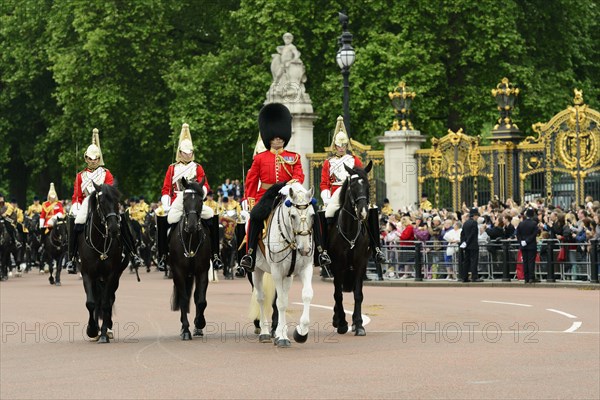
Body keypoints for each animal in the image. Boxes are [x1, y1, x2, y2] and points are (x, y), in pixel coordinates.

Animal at [78, 183, 127, 342]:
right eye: (102, 202)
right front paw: (92, 330)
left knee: (110, 298)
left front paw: (104, 332)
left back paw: (108, 328)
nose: (114, 229)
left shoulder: (111, 274)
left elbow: (106, 303)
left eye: (117, 201)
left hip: (116, 276)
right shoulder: (87, 274)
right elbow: (91, 302)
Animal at [170, 178, 212, 340]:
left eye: (200, 200)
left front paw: (199, 323)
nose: (193, 225)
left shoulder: (202, 271)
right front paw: (186, 329)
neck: (191, 239)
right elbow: (183, 299)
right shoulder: (178, 272)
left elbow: (200, 301)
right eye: (184, 199)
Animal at [252, 182, 314, 346]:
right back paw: (265, 332)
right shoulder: (277, 271)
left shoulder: (305, 268)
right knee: (261, 298)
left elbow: (306, 295)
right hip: (256, 270)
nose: (305, 250)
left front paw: (301, 332)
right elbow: (280, 303)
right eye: (292, 215)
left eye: (312, 215)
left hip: (288, 276)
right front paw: (282, 337)